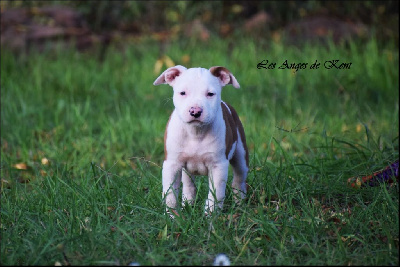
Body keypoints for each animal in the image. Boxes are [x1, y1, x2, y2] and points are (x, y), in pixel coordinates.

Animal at [152, 66, 247, 216]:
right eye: (182, 93)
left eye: (210, 94)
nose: (195, 111)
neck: (195, 132)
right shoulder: (172, 164)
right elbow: (170, 194)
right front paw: (172, 216)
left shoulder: (218, 166)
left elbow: (215, 194)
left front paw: (211, 217)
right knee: (188, 185)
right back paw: (187, 205)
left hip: (241, 154)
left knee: (239, 178)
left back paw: (240, 205)